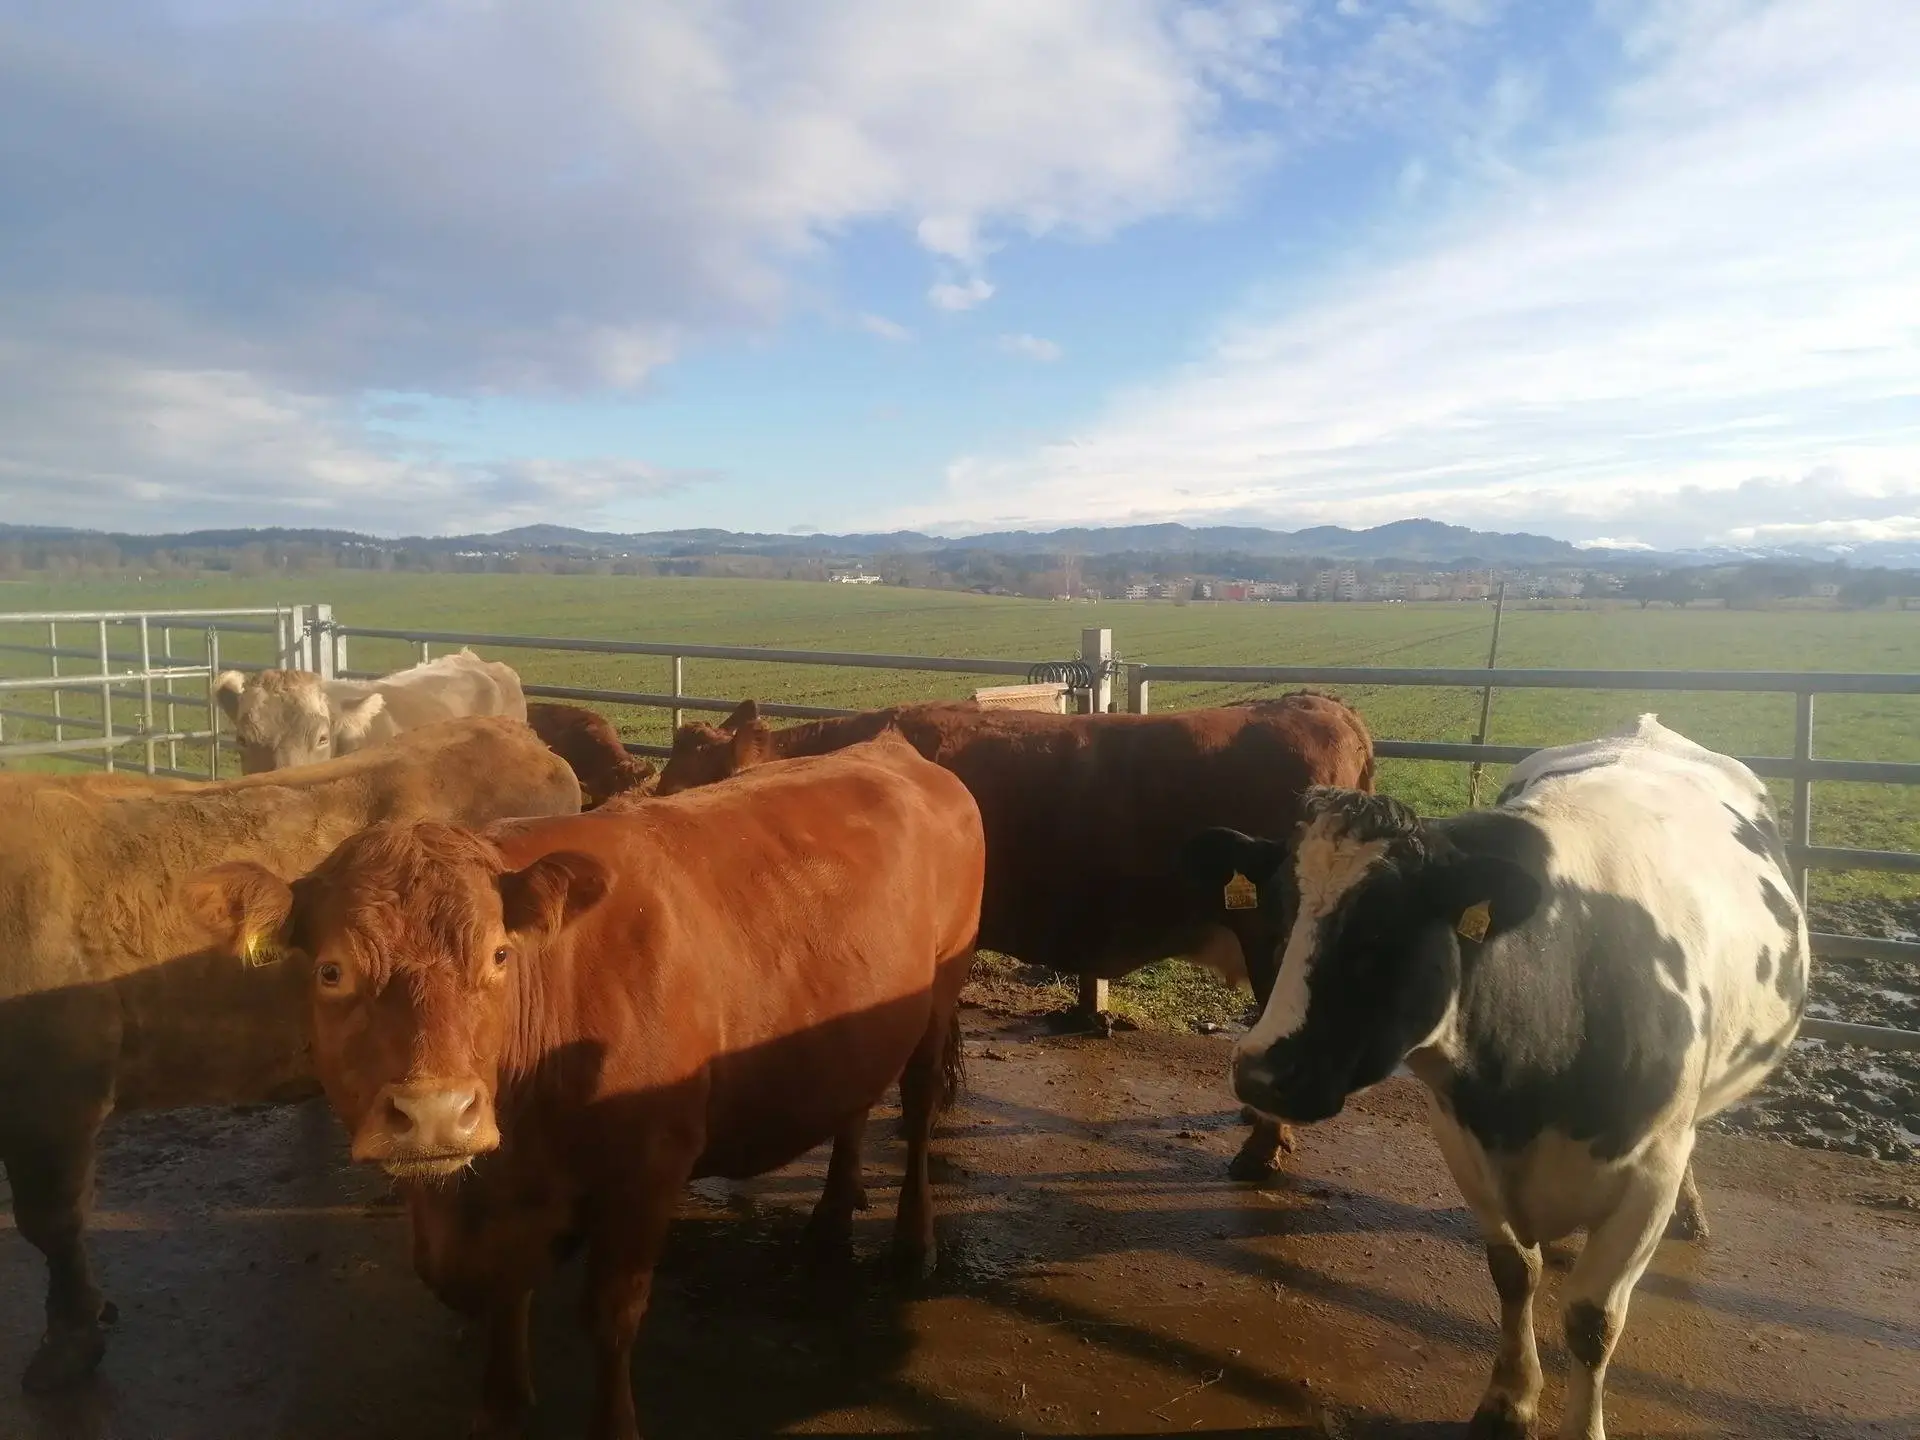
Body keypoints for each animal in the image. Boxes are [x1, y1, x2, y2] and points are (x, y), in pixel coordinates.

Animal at [189, 733, 985, 1440]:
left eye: (499, 954)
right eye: (331, 972)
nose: (437, 1112)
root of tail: (891, 747)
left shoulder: (651, 1166)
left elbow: (611, 1316)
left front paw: (612, 1425)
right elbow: (506, 1296)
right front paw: (501, 1406)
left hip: (942, 984)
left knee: (917, 1107)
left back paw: (912, 1243)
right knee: (855, 1100)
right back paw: (833, 1211)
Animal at [1184, 716, 1806, 1440]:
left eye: (1381, 932)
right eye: (1280, 915)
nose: (1260, 1072)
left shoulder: (1650, 1172)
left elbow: (1593, 1320)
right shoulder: (1462, 1140)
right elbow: (1513, 1273)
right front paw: (1508, 1400)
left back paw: (1692, 1211)